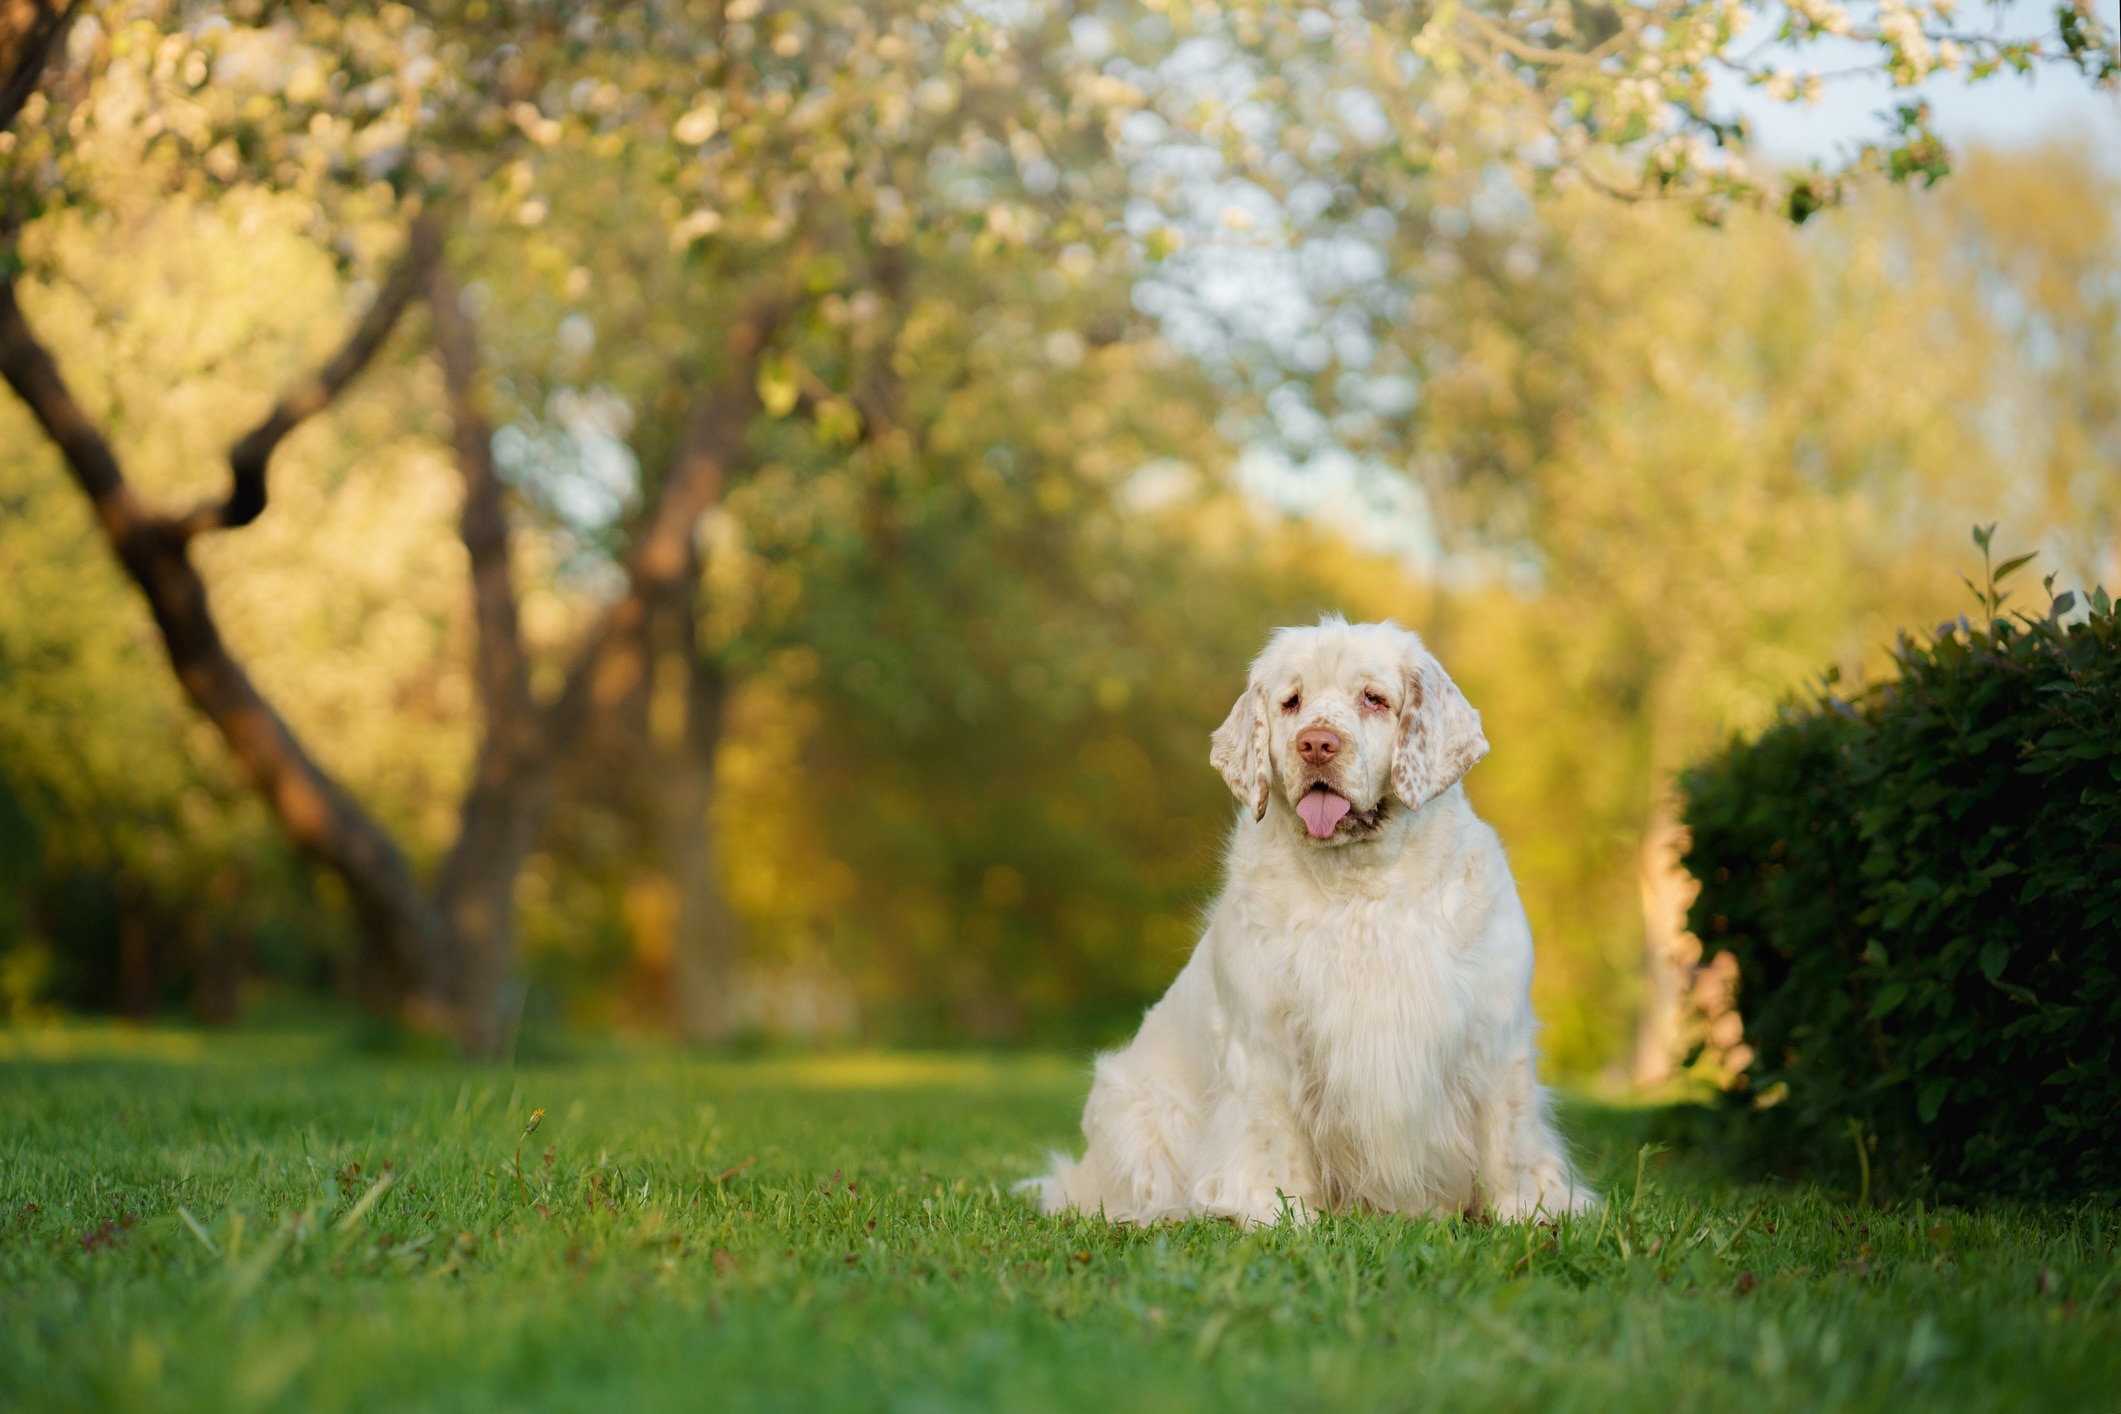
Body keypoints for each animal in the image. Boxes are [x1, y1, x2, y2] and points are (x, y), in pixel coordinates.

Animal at [1026, 619, 1594, 1229]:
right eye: (1291, 701)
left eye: (1374, 699)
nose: (1317, 743)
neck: (1360, 889)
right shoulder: (1266, 1045)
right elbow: (1275, 1143)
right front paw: (1283, 1217)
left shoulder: (1494, 1035)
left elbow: (1510, 1139)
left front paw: (1531, 1213)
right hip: (1138, 1110)